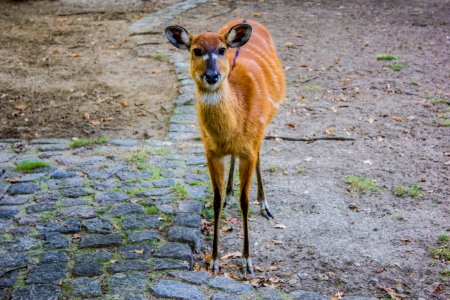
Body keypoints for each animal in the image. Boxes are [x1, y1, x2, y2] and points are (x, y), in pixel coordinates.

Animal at [165, 18, 284, 276]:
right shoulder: (210, 151)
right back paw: (230, 191)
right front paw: (214, 260)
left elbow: (245, 201)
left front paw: (247, 261)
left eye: (221, 50)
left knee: (259, 155)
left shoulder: (249, 147)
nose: (212, 75)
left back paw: (265, 205)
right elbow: (216, 200)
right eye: (196, 50)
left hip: (264, 126)